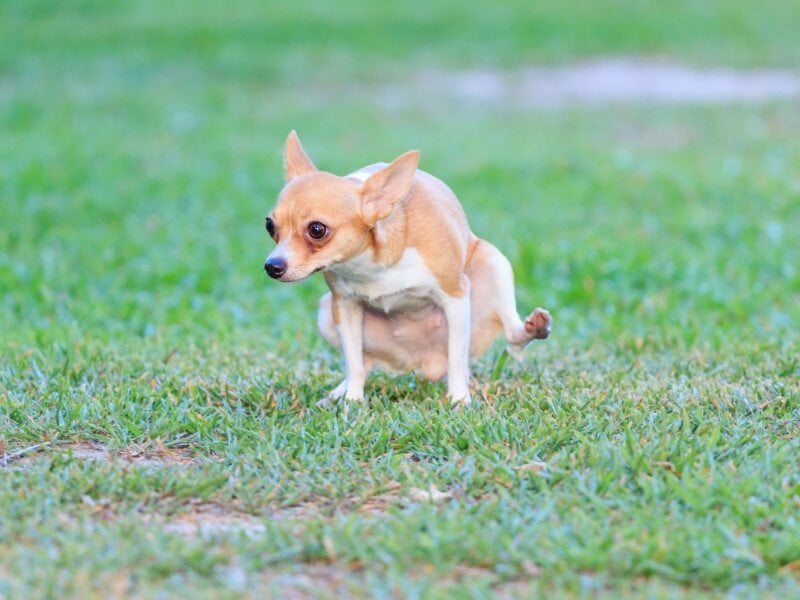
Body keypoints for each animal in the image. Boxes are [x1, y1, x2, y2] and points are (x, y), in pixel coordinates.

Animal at [262, 129, 552, 406]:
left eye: (317, 230)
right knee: (364, 364)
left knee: (510, 335)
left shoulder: (455, 298)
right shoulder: (344, 306)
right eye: (269, 226)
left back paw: (533, 328)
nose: (272, 266)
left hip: (495, 264)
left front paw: (459, 399)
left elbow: (457, 360)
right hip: (326, 312)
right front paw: (353, 402)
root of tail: (424, 362)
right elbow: (353, 363)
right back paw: (337, 394)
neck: (370, 264)